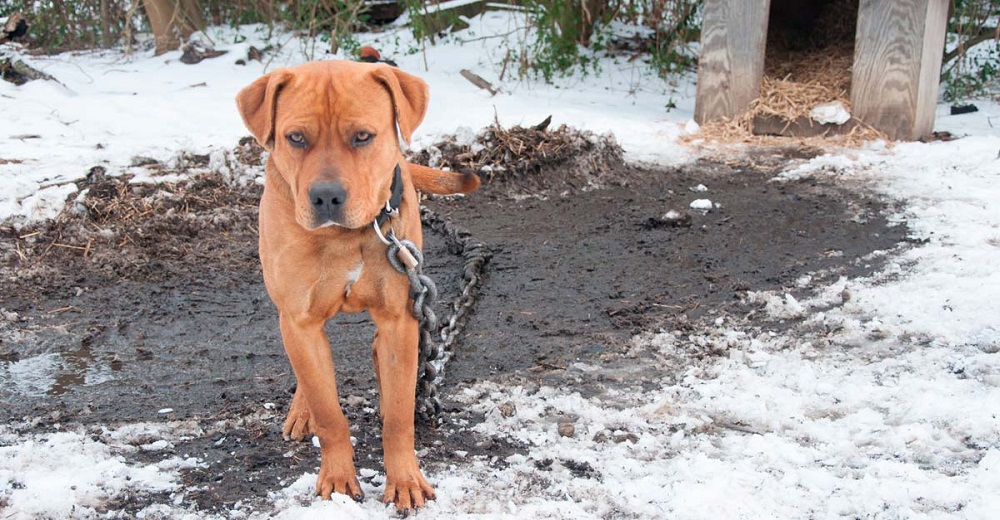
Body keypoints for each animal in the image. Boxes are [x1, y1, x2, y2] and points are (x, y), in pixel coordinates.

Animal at [238, 60, 480, 508]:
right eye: (296, 138)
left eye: (363, 136)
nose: (326, 197)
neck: (343, 236)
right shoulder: (299, 321)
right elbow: (329, 411)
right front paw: (336, 479)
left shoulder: (400, 318)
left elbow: (399, 416)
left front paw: (405, 480)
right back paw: (302, 410)